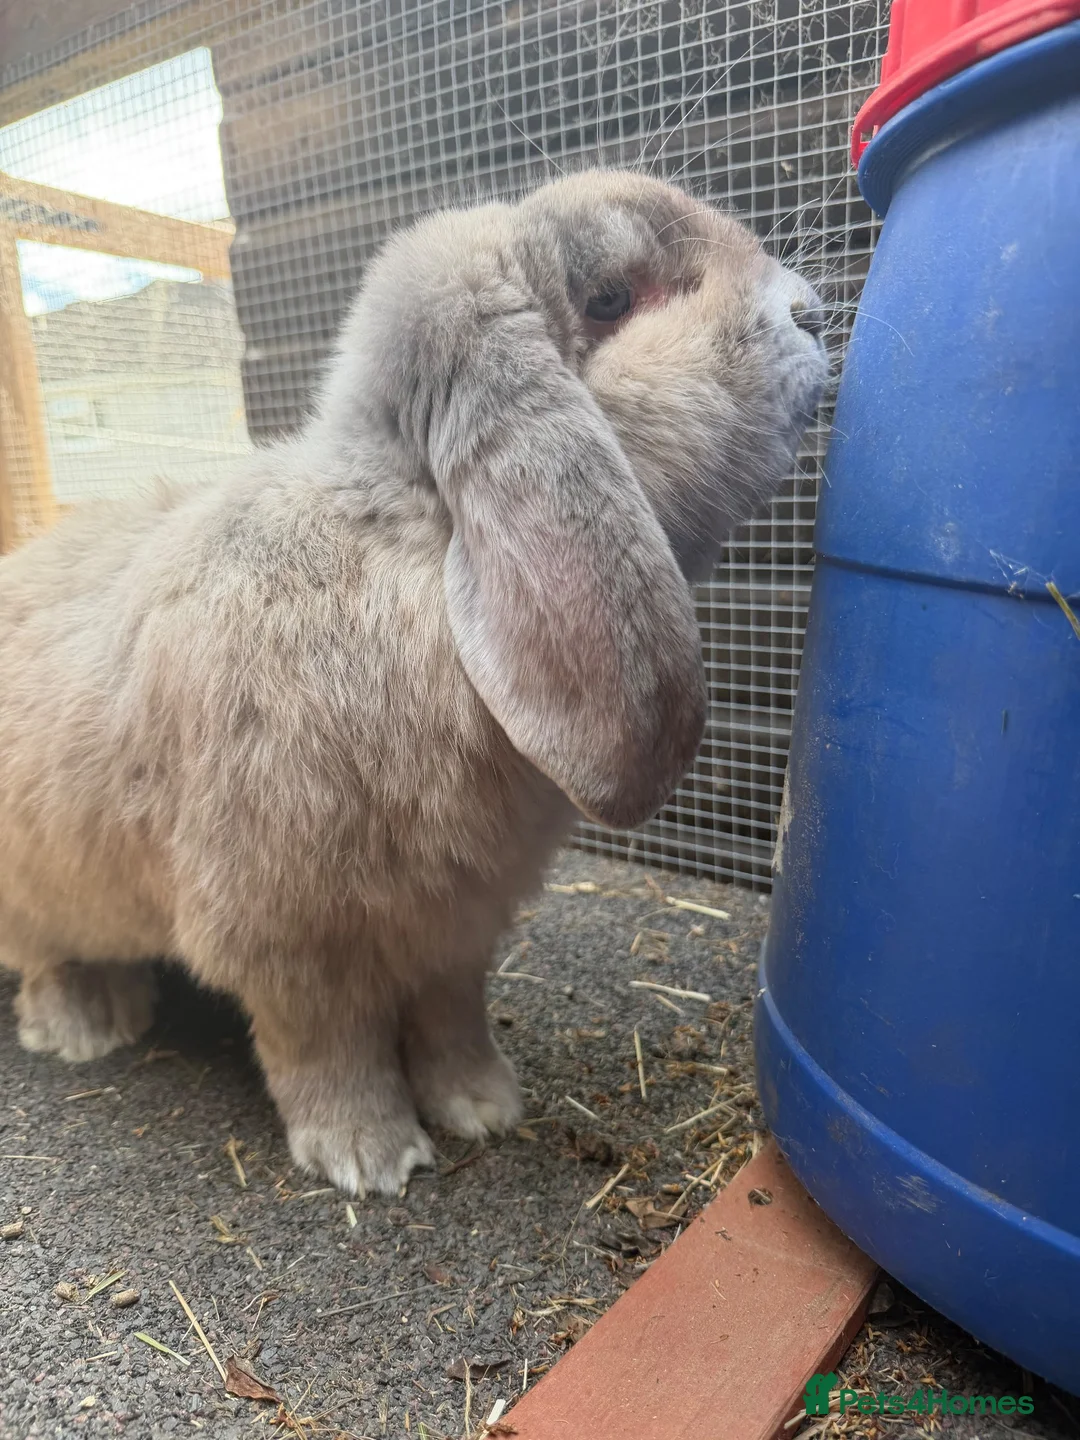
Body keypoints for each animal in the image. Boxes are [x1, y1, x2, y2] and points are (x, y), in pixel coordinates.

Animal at [0, 169, 828, 1197]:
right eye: (611, 299)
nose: (812, 310)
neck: (414, 539)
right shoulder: (288, 938)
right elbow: (327, 1047)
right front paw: (370, 1157)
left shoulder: (457, 925)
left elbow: (450, 1017)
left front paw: (485, 1109)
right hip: (38, 889)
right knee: (44, 957)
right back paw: (84, 1027)